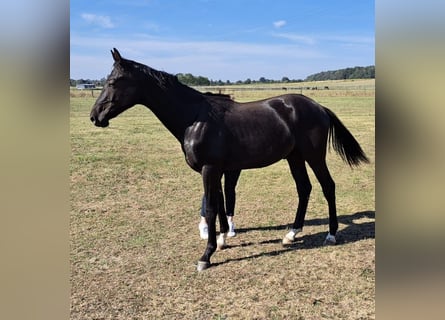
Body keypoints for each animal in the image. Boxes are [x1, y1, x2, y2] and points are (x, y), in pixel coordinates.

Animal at [89, 48, 368, 272]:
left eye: (113, 81)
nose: (95, 116)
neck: (195, 118)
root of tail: (319, 107)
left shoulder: (209, 169)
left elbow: (213, 207)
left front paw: (206, 255)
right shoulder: (219, 170)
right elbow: (221, 203)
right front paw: (223, 240)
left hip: (313, 156)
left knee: (327, 186)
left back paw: (331, 235)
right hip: (294, 157)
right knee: (304, 188)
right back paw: (291, 233)